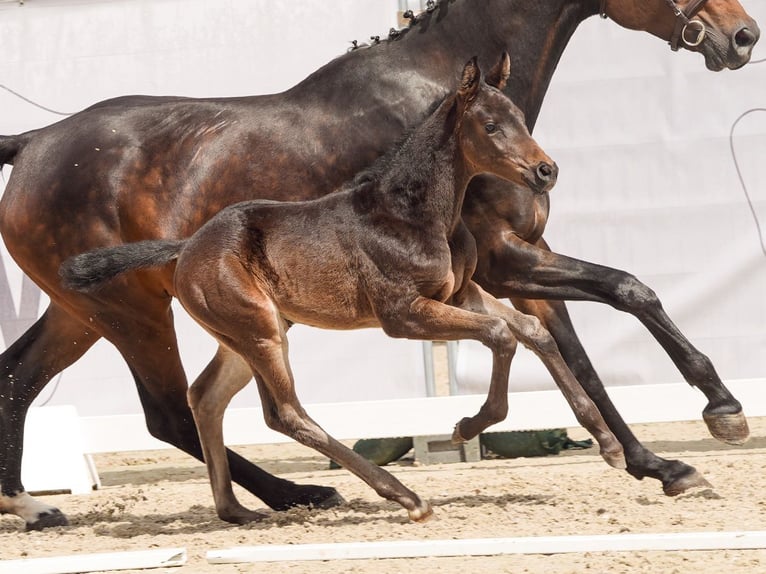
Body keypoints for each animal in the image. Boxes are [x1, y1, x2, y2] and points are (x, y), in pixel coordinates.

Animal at [60, 57, 624, 528]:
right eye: (490, 126)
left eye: (523, 120)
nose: (546, 171)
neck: (413, 212)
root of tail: (187, 246)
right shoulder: (404, 314)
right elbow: (500, 335)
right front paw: (468, 425)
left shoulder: (458, 294)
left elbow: (529, 329)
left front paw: (609, 445)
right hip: (259, 332)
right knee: (285, 413)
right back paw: (404, 497)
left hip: (251, 333)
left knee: (205, 396)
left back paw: (235, 510)